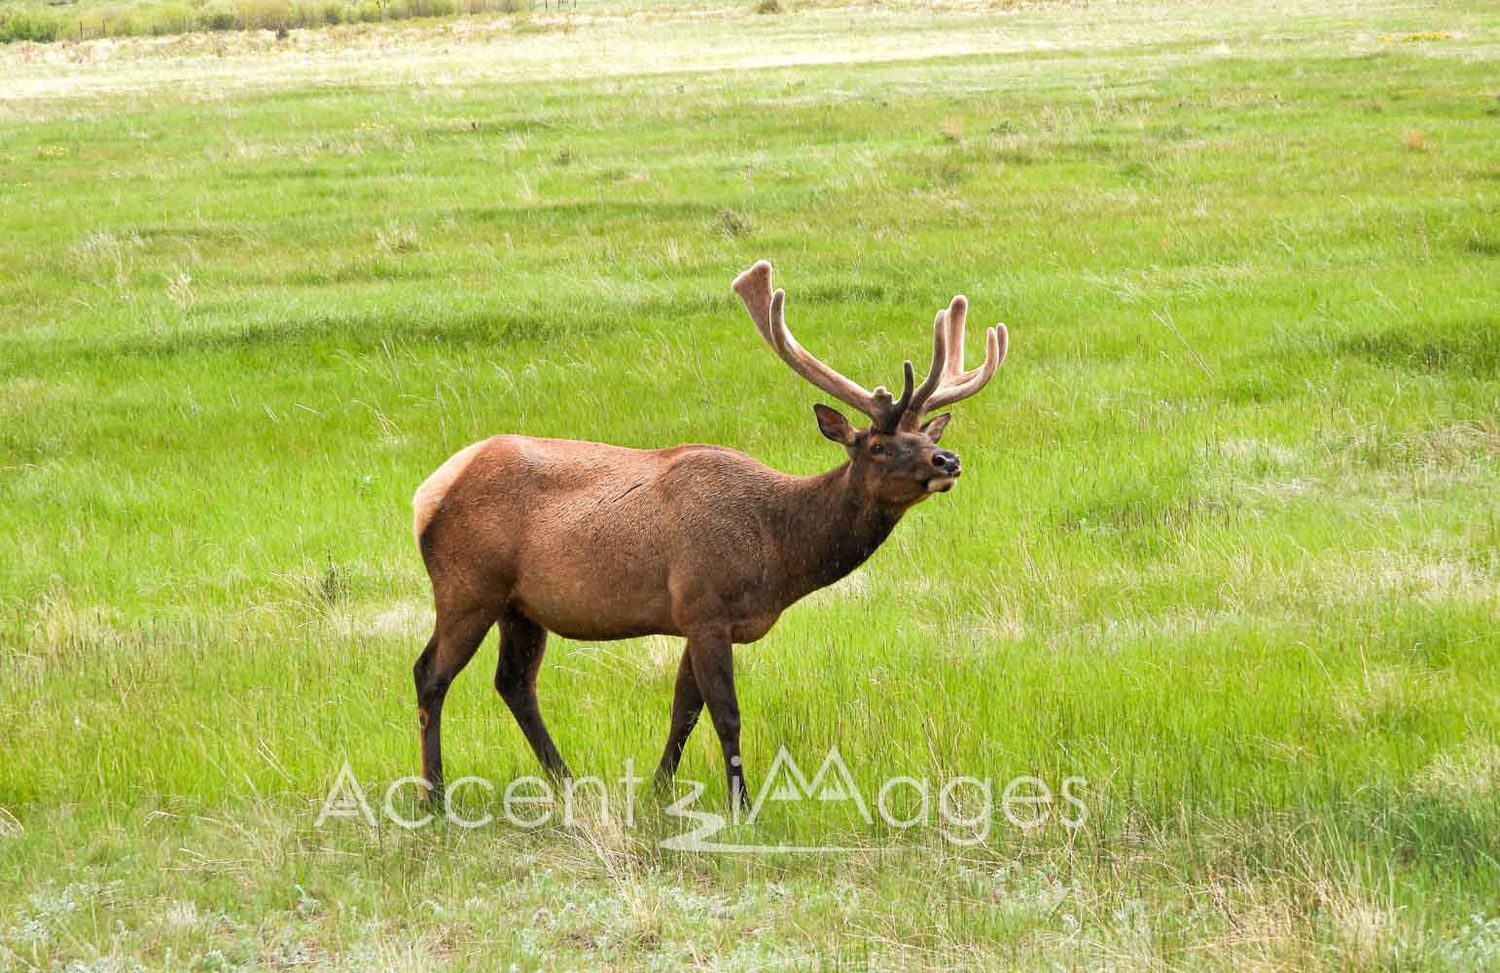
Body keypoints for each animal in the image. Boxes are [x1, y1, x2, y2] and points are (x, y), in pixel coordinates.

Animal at [410, 260, 1008, 806]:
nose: (948, 459)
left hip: (522, 607)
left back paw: (566, 782)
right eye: (879, 445)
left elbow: (684, 711)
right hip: (468, 586)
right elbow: (725, 714)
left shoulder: (696, 619)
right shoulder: (705, 607)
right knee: (430, 673)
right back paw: (435, 794)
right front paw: (742, 804)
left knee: (514, 682)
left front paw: (657, 793)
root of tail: (425, 495)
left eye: (926, 435)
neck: (777, 555)